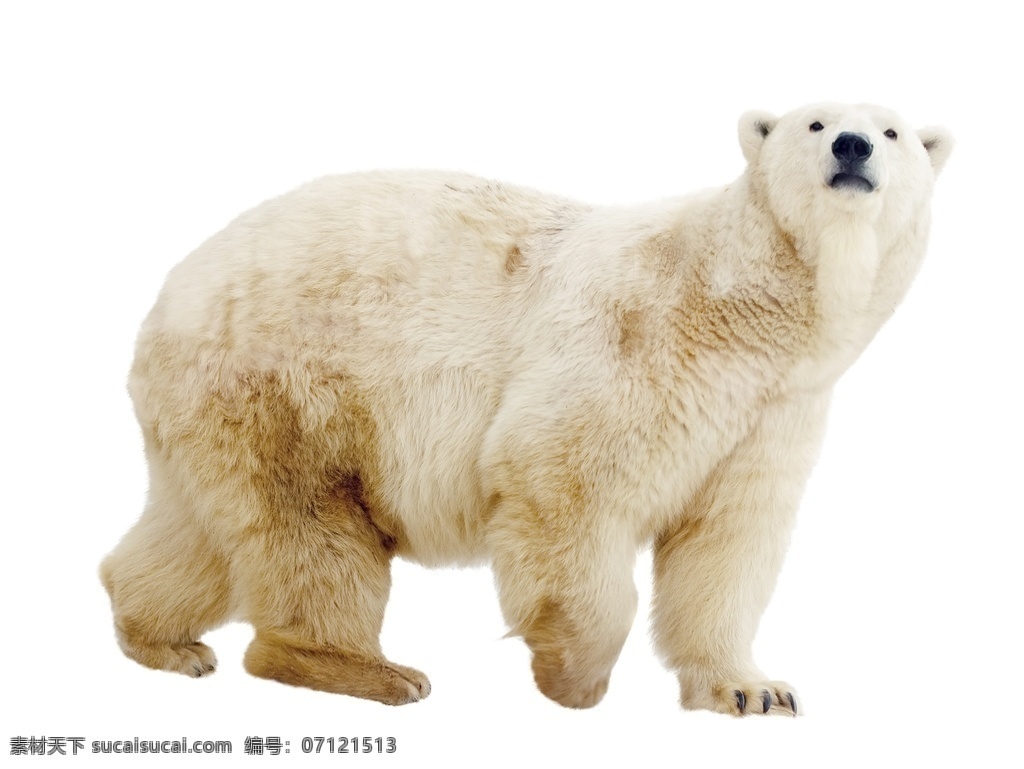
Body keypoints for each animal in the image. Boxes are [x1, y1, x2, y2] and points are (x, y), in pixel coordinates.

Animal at [100, 103, 952, 716]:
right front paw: (574, 676)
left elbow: (726, 539)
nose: (853, 147)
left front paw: (753, 687)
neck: (739, 307)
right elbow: (562, 475)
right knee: (310, 527)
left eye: (893, 130)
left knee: (198, 529)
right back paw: (367, 669)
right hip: (290, 385)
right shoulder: (637, 343)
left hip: (213, 408)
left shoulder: (771, 410)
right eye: (816, 120)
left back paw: (161, 637)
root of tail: (169, 295)